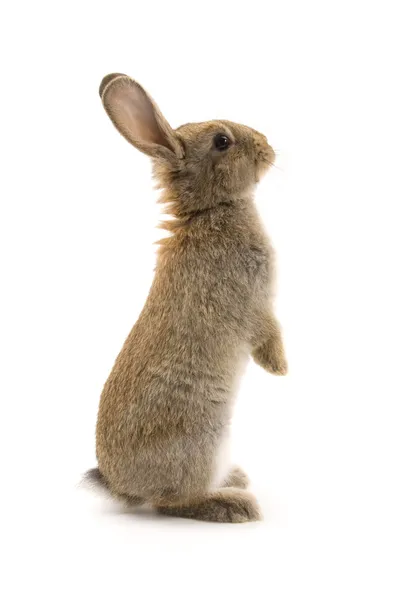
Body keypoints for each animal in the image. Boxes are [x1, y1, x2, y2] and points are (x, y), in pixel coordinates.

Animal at [83, 75, 288, 524]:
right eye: (222, 141)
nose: (268, 146)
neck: (210, 210)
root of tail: (122, 487)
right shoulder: (252, 299)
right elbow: (268, 329)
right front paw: (280, 368)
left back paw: (235, 480)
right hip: (201, 441)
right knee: (171, 502)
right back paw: (234, 504)